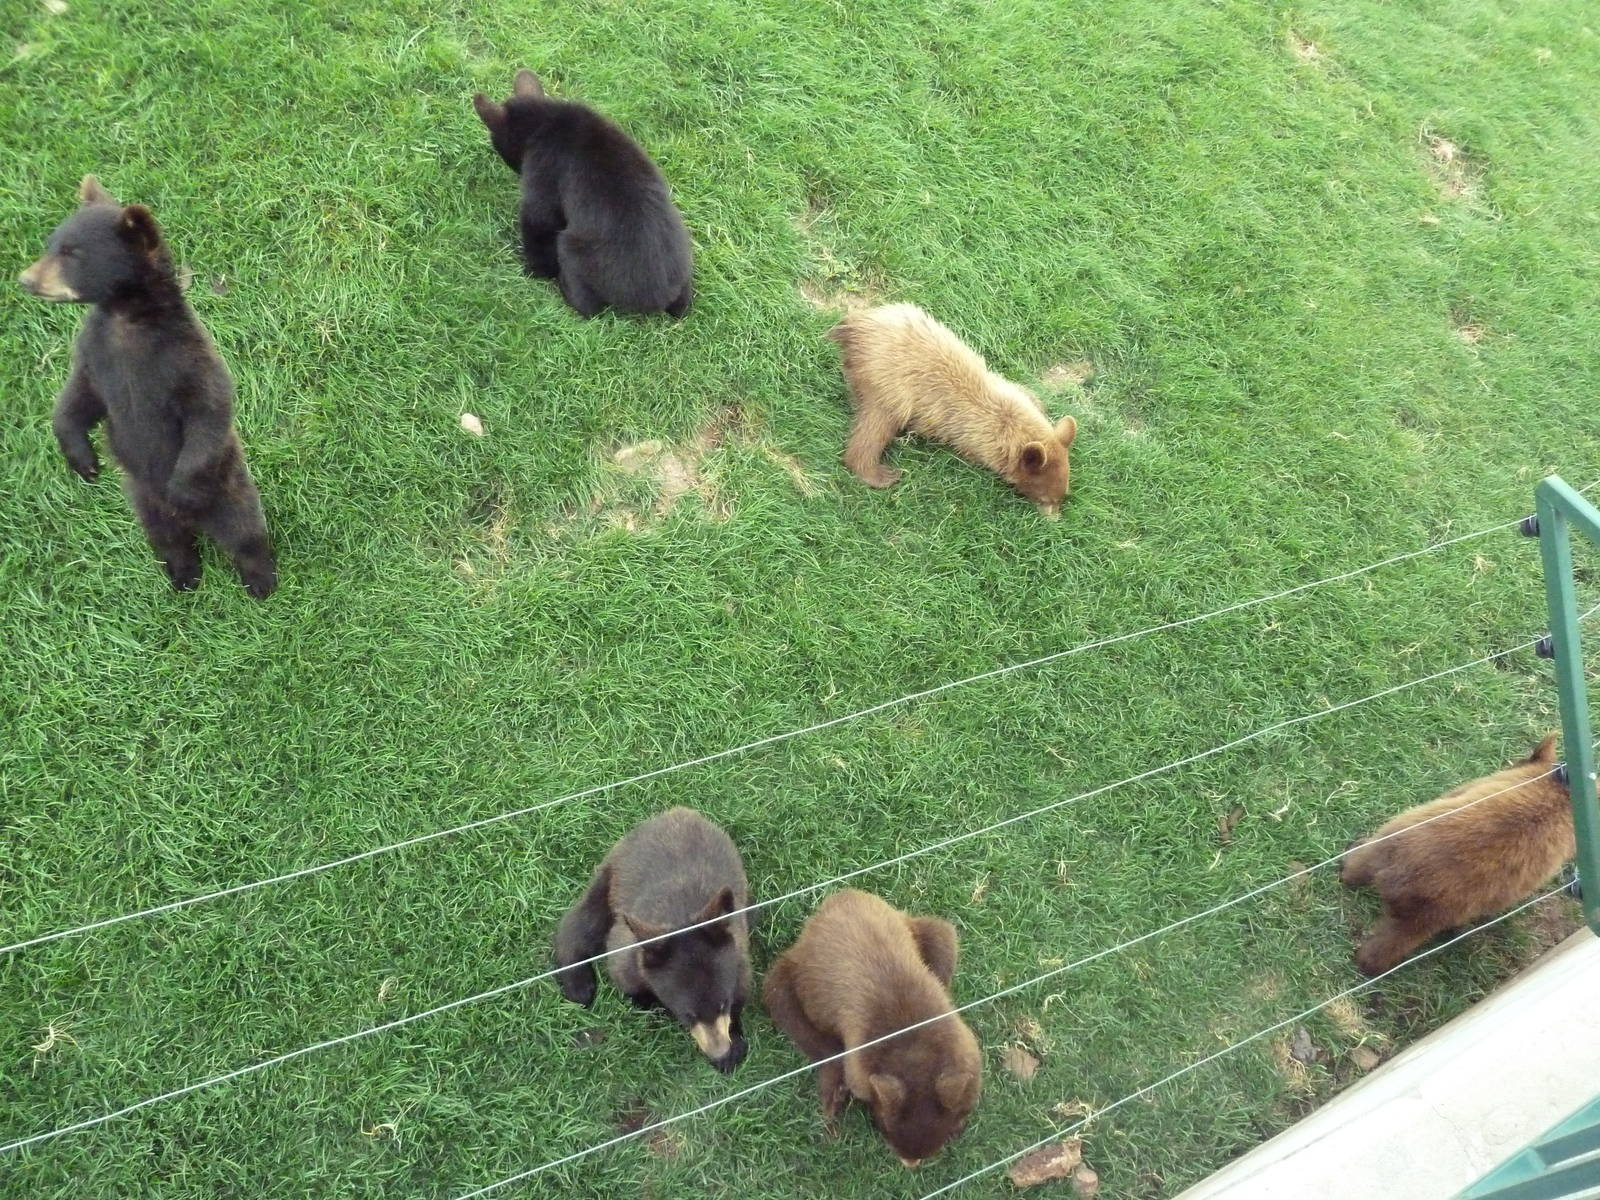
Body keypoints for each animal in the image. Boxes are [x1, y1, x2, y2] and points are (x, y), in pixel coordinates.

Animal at [18, 176, 276, 597]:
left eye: (73, 253)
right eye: (51, 244)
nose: (26, 279)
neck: (128, 319)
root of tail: (195, 524)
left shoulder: (183, 359)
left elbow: (209, 407)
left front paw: (181, 489)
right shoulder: (97, 354)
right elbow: (78, 399)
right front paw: (84, 461)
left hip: (226, 488)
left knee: (244, 531)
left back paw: (260, 579)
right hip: (142, 503)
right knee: (168, 541)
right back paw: (184, 576)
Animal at [472, 69, 693, 319]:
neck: (545, 119)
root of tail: (656, 298)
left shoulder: (542, 178)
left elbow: (538, 223)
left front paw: (535, 270)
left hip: (572, 251)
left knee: (589, 307)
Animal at [554, 807, 751, 1073]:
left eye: (723, 1003)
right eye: (687, 1014)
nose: (719, 1052)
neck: (680, 918)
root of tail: (677, 811)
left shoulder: (739, 952)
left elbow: (741, 987)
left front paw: (734, 1047)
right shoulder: (627, 950)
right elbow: (627, 980)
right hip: (611, 874)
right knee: (583, 922)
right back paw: (580, 987)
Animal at [762, 888, 981, 1168]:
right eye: (885, 1128)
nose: (910, 1164)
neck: (912, 1045)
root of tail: (841, 895)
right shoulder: (859, 1062)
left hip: (928, 931)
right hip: (786, 977)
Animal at [827, 303, 1078, 516]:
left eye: (1062, 495)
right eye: (1046, 498)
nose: (1053, 516)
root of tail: (854, 326)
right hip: (888, 384)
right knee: (875, 426)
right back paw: (879, 473)